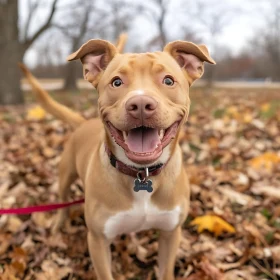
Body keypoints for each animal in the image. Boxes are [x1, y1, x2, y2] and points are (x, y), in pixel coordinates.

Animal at [20, 37, 215, 280]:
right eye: (116, 82)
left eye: (168, 80)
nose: (140, 105)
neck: (142, 174)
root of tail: (84, 122)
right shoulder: (98, 240)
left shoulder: (171, 233)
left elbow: (166, 270)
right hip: (65, 177)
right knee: (63, 202)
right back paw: (58, 224)